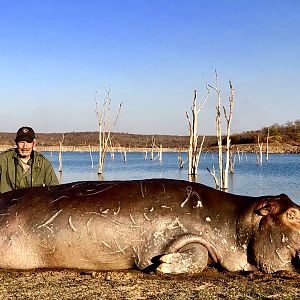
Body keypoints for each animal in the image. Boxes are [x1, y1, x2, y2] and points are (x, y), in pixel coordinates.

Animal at [0, 178, 298, 274]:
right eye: (293, 214)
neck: (237, 220)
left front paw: (164, 264)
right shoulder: (187, 234)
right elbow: (198, 253)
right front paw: (164, 264)